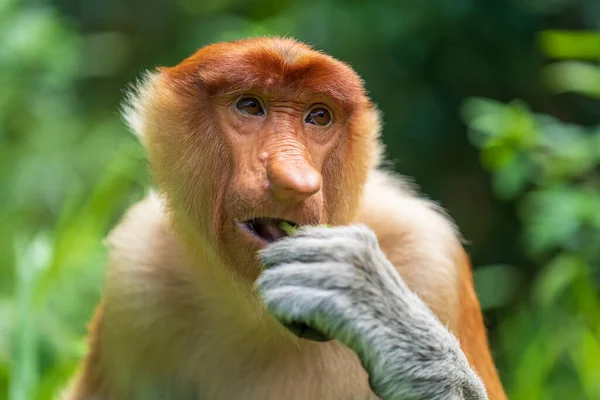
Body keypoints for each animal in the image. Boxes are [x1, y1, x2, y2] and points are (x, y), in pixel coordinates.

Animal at [64, 37, 506, 400]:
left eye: (319, 116)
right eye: (249, 106)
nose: (296, 180)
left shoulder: (429, 255)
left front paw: (369, 300)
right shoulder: (136, 279)